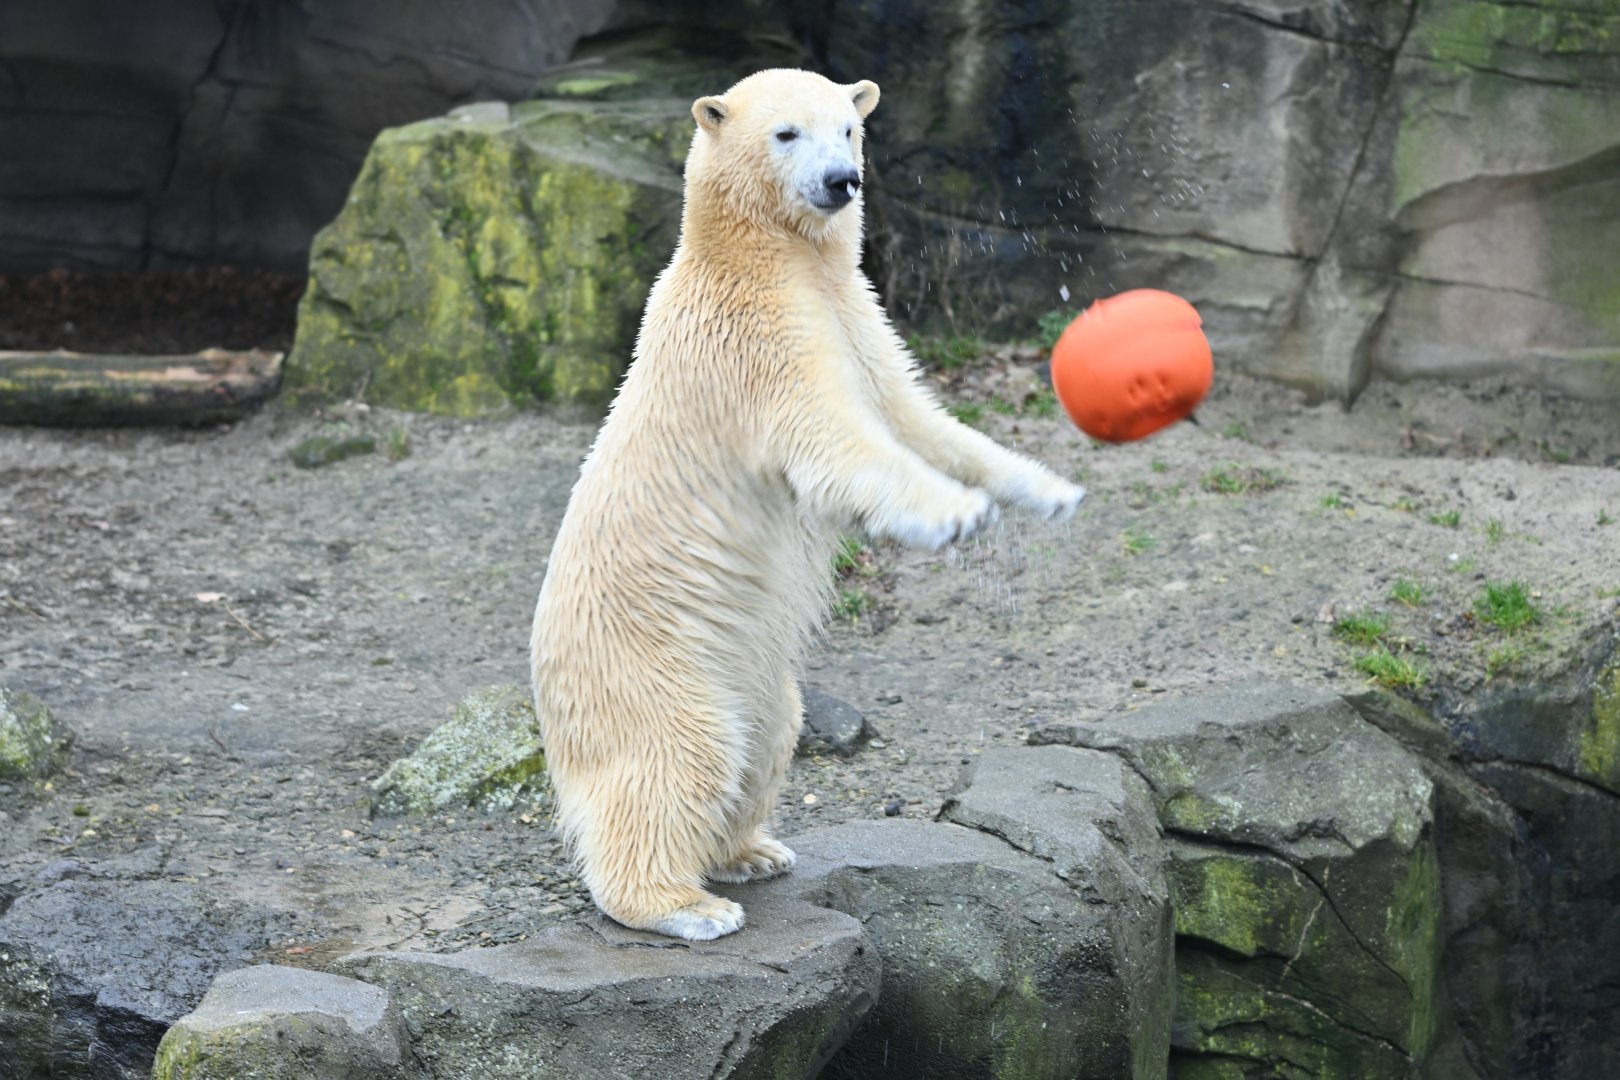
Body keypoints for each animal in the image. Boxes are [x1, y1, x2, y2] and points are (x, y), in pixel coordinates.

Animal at [530, 68, 1085, 941]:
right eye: (787, 133)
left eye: (848, 129)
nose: (841, 182)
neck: (764, 258)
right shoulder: (757, 343)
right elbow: (834, 445)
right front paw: (956, 516)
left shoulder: (857, 317)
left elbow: (918, 418)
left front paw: (1048, 488)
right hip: (654, 665)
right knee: (683, 758)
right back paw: (685, 905)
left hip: (753, 676)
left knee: (766, 739)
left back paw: (750, 851)